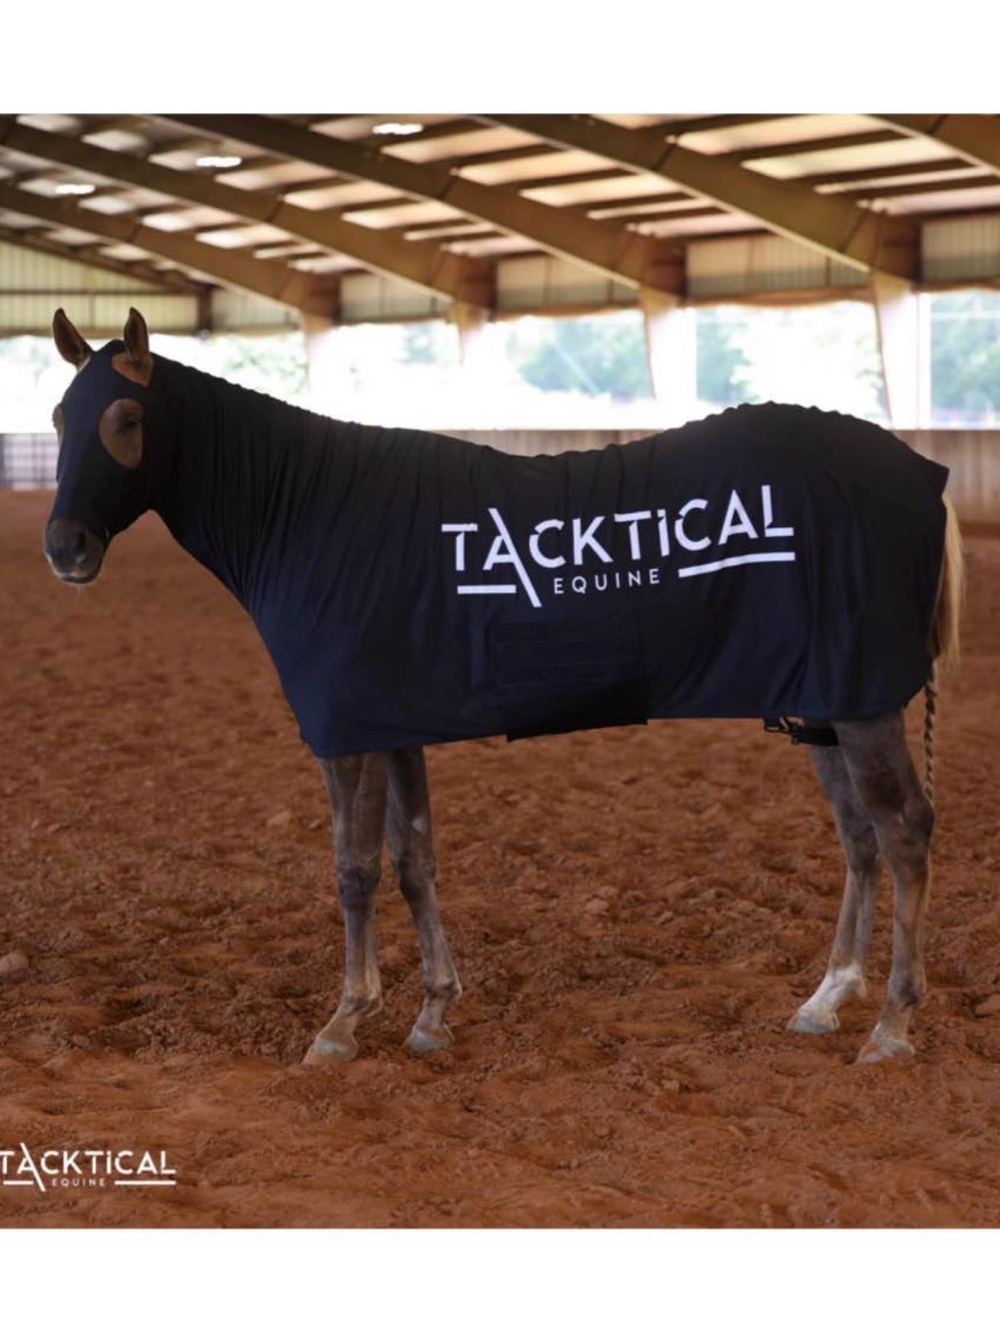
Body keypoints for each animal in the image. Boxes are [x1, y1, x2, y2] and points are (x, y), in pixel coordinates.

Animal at [43, 307, 963, 1067]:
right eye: (58, 418)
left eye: (126, 419)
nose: (65, 547)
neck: (309, 514)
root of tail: (923, 475)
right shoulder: (395, 724)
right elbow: (415, 860)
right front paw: (431, 1013)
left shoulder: (349, 733)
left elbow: (354, 869)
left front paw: (344, 1021)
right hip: (824, 704)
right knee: (860, 837)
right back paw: (827, 999)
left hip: (861, 703)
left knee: (905, 832)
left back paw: (892, 1022)